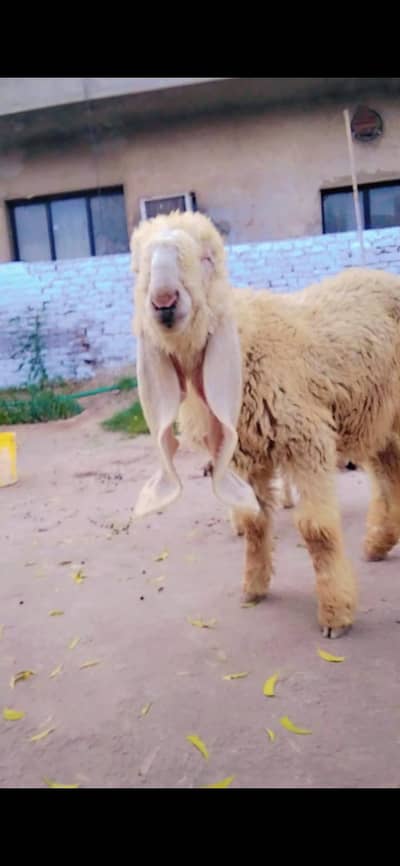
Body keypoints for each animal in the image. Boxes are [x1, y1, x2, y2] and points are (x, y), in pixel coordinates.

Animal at [131, 210, 400, 639]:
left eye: (207, 259)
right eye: (138, 268)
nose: (164, 301)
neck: (246, 337)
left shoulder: (306, 439)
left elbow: (317, 529)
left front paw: (335, 614)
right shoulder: (245, 454)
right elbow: (255, 522)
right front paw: (254, 588)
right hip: (374, 416)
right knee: (390, 478)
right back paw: (378, 543)